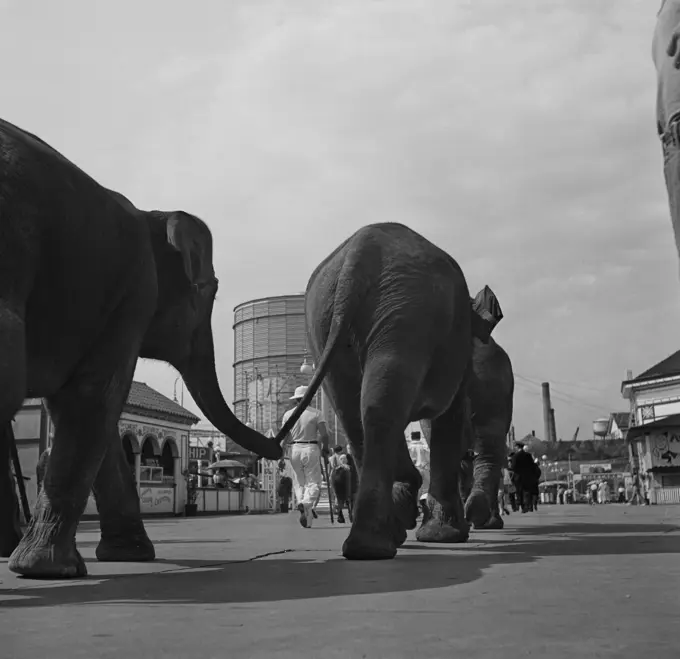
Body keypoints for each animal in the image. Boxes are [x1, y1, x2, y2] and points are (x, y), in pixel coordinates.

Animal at [0, 117, 282, 576]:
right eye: (211, 289)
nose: (277, 447)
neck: (151, 214)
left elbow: (92, 412)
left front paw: (127, 555)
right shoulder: (133, 292)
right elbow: (91, 400)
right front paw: (49, 569)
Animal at [276, 223, 494, 564]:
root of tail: (359, 254)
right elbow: (449, 415)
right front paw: (444, 534)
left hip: (333, 322)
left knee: (359, 413)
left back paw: (370, 542)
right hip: (409, 310)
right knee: (381, 408)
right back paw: (383, 538)